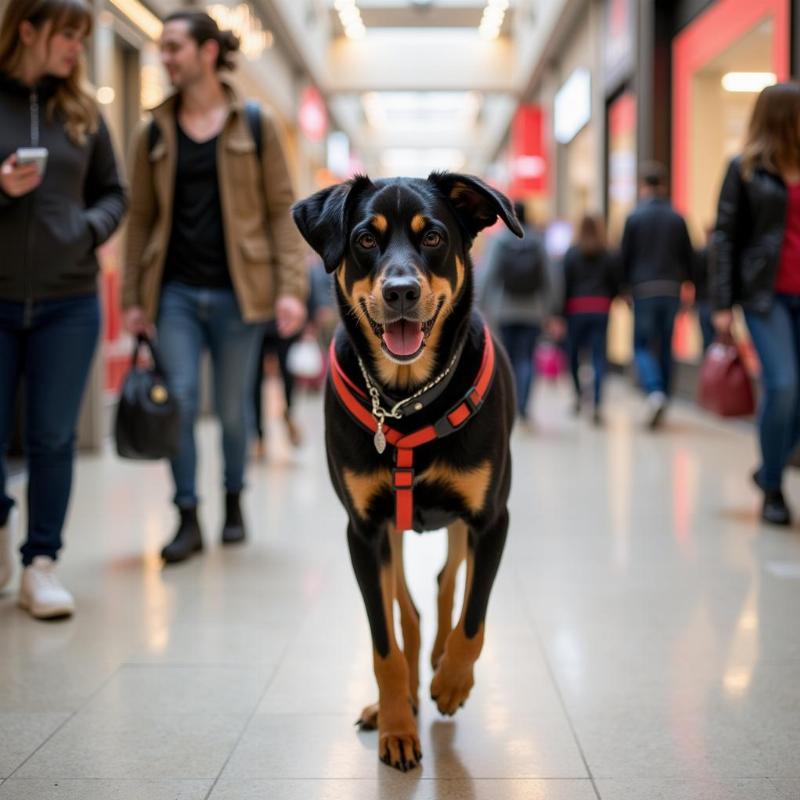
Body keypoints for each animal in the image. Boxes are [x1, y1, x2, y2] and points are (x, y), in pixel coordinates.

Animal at [290, 173, 520, 768]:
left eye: (434, 237)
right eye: (365, 240)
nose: (400, 292)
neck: (407, 399)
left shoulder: (492, 519)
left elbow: (473, 616)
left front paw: (453, 682)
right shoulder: (364, 531)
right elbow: (385, 640)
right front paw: (397, 720)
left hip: (459, 522)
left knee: (446, 583)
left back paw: (439, 666)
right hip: (391, 529)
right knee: (408, 611)